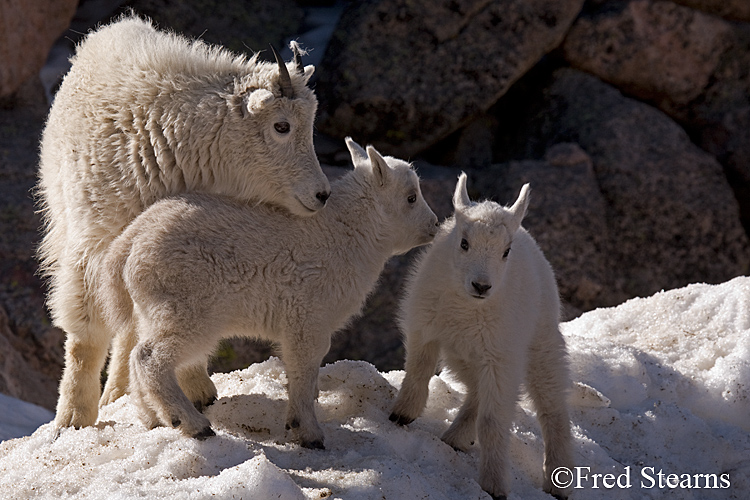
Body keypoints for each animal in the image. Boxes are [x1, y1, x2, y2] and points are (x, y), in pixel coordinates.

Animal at [35, 15, 328, 430]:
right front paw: (74, 416)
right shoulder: (92, 242)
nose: (322, 194)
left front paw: (197, 389)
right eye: (282, 126)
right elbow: (85, 334)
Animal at [97, 140, 440, 446]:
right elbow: (304, 372)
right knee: (149, 357)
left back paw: (152, 418)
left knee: (135, 356)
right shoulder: (309, 317)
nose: (435, 225)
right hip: (186, 308)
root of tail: (129, 242)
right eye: (411, 198)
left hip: (152, 308)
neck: (350, 232)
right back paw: (192, 423)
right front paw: (308, 432)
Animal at [390, 173, 572, 500]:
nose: (481, 286)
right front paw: (402, 414)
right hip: (463, 357)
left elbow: (493, 421)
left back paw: (558, 482)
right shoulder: (424, 328)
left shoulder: (500, 357)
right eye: (464, 243)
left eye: (506, 251)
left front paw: (494, 486)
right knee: (476, 393)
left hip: (540, 344)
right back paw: (455, 438)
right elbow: (419, 370)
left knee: (552, 408)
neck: (467, 308)